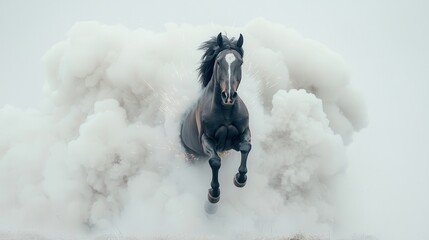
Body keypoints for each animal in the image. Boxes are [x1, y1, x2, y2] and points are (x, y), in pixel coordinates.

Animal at [181, 32, 251, 203]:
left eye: (240, 62)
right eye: (219, 61)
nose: (228, 95)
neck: (226, 112)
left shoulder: (240, 135)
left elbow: (246, 147)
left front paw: (240, 178)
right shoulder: (207, 140)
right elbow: (215, 161)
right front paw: (214, 193)